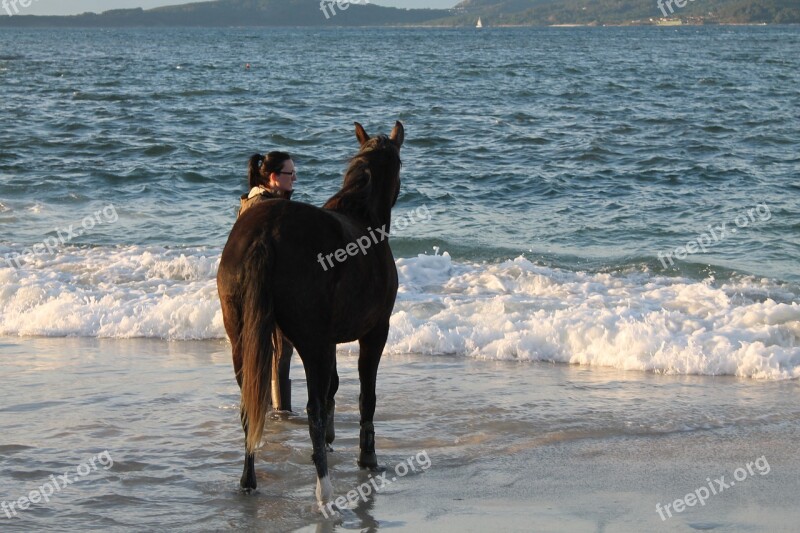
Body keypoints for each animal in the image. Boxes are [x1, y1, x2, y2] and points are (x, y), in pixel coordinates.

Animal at [216, 118, 404, 504]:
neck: (361, 214)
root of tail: (265, 234)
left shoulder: (329, 341)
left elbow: (333, 385)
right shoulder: (375, 331)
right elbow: (365, 396)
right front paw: (367, 457)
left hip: (241, 339)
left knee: (250, 405)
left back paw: (248, 480)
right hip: (310, 341)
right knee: (312, 409)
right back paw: (324, 488)